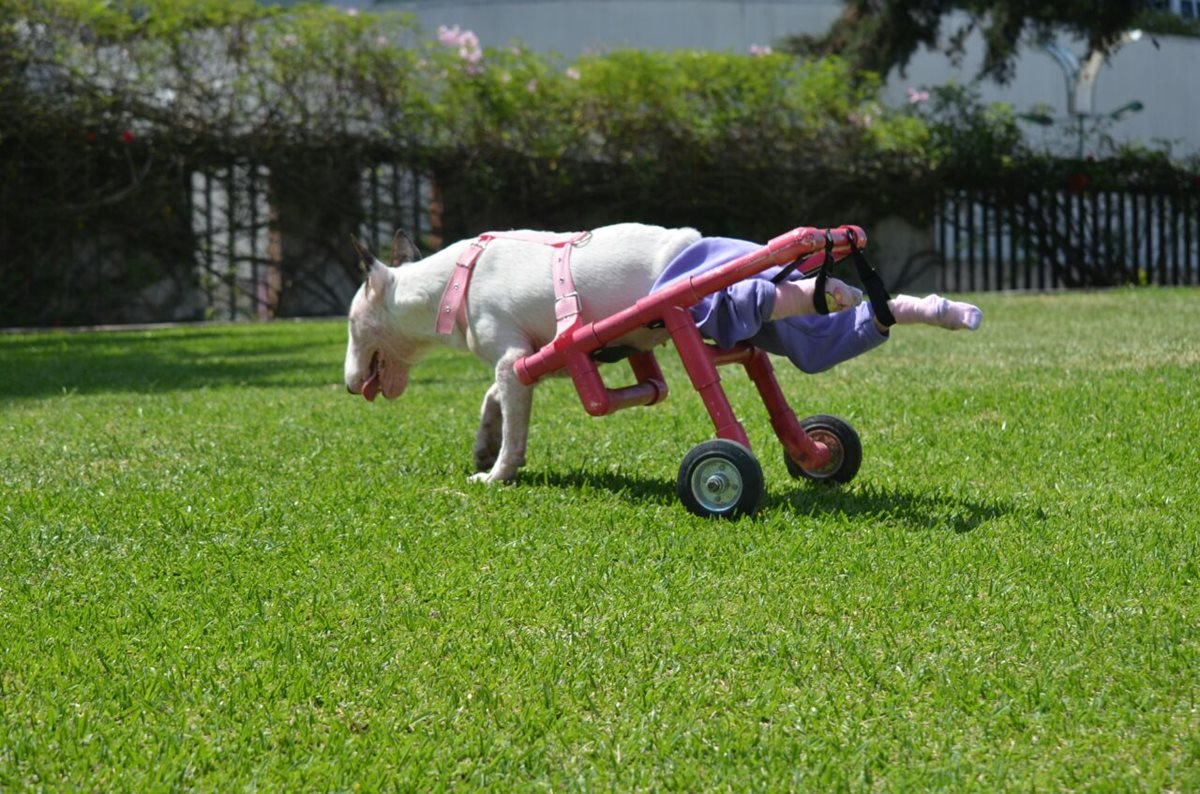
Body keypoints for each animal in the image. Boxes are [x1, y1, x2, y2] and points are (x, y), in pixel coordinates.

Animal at [343, 221, 700, 484]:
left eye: (350, 321)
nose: (348, 386)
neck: (450, 286)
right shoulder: (533, 361)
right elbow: (493, 398)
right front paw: (484, 447)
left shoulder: (510, 360)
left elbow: (513, 432)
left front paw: (496, 475)